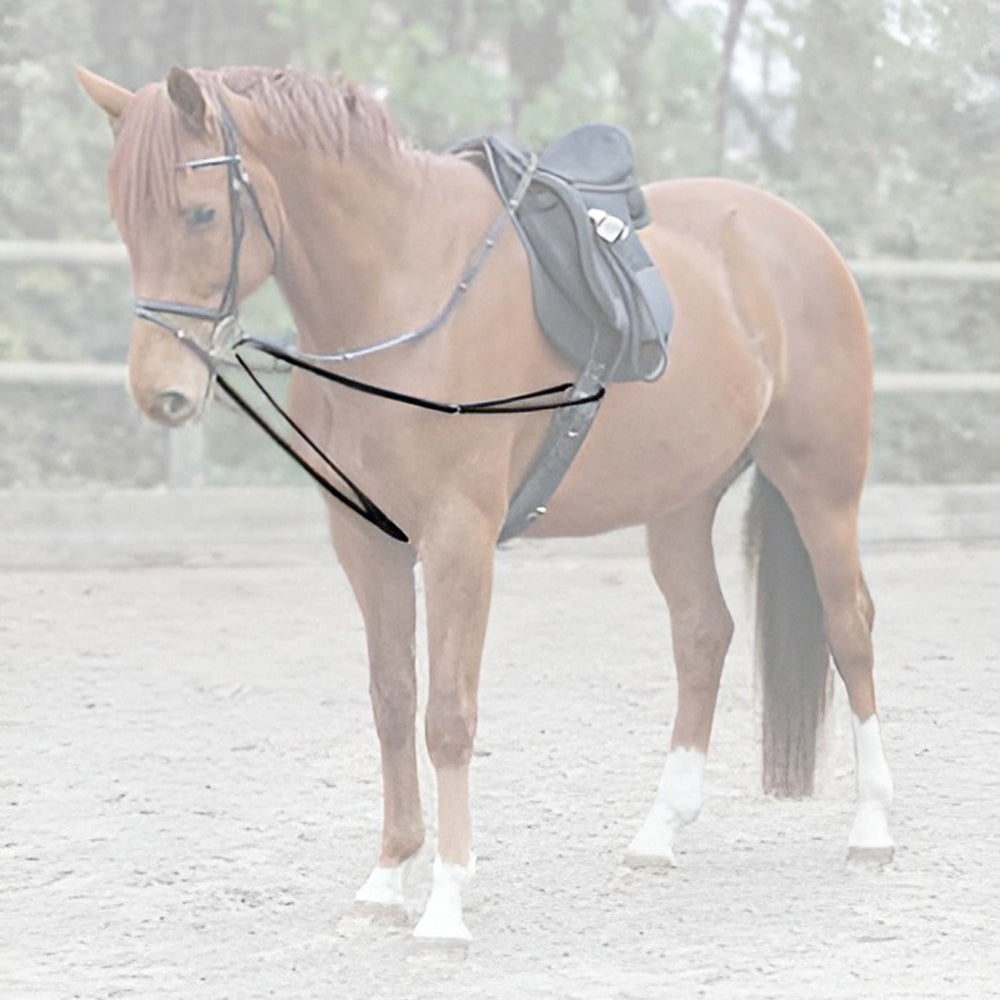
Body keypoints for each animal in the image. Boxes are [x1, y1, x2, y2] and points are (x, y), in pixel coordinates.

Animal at [77, 64, 894, 943]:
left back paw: (872, 828)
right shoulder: (367, 542)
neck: (400, 295)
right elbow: (393, 700)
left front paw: (444, 904)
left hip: (820, 482)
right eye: (122, 215)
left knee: (850, 627)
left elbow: (447, 714)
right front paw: (387, 878)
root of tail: (795, 234)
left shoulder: (457, 537)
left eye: (200, 213)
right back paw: (659, 832)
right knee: (704, 634)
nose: (159, 391)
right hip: (680, 500)